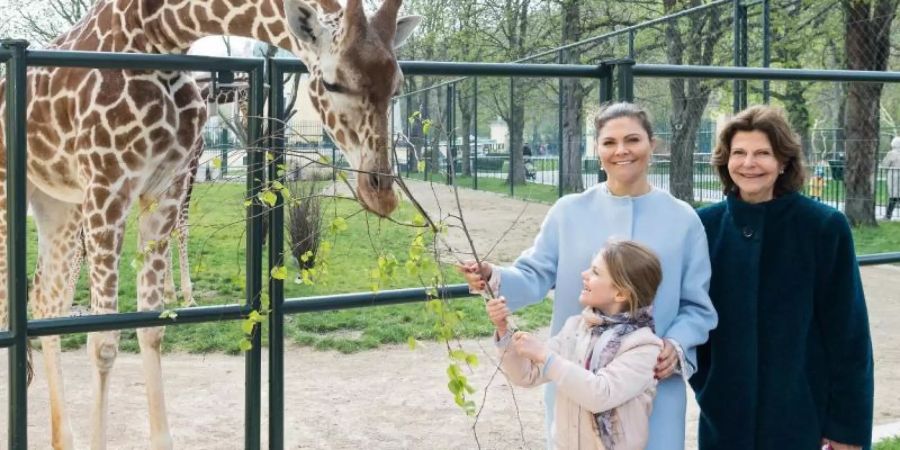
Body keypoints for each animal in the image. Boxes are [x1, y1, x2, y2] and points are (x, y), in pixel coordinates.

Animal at [0, 0, 422, 446]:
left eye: (397, 85)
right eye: (332, 82)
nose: (381, 192)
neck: (156, 37)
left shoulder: (163, 189)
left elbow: (152, 327)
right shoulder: (108, 187)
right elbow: (103, 342)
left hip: (57, 203)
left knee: (45, 299)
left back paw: (63, 439)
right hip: (15, 192)